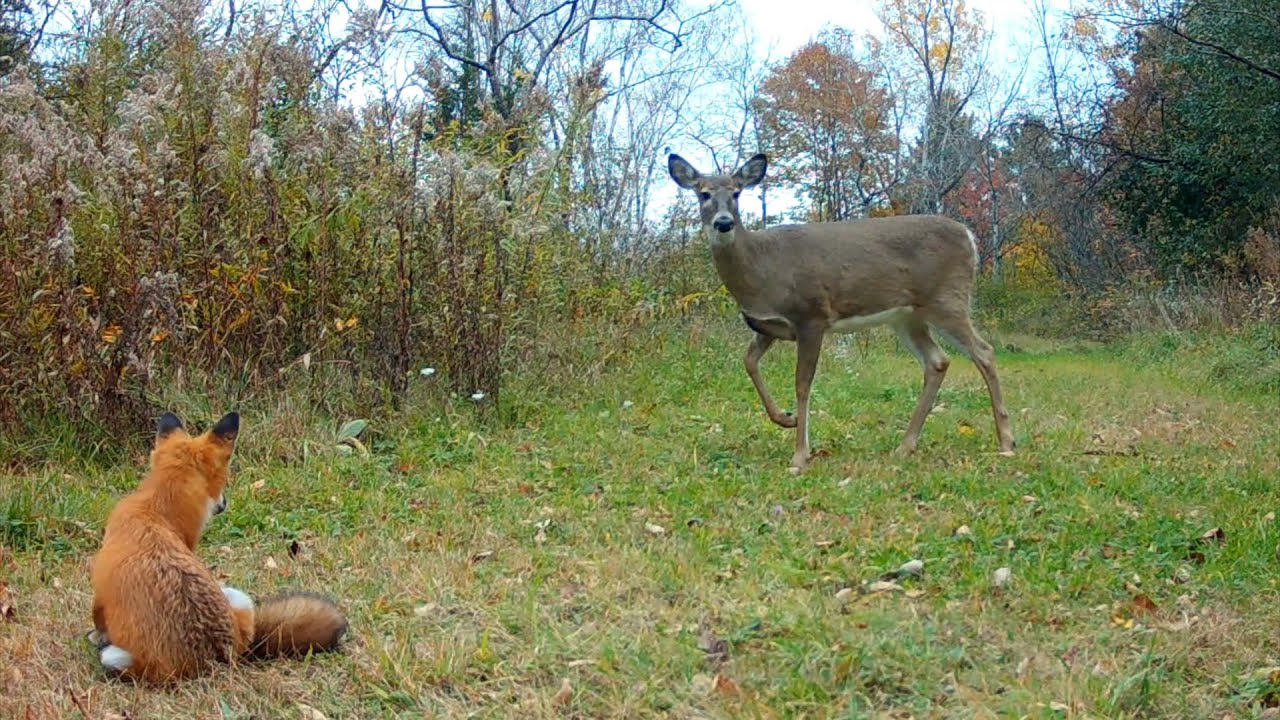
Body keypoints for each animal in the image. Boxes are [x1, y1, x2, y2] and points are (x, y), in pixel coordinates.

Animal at [88, 411, 348, 682]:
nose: (225, 503)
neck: (153, 510)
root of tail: (220, 659)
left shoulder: (100, 590)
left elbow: (98, 620)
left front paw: (95, 636)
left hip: (121, 657)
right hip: (239, 599)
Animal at [667, 152, 1015, 472]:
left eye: (737, 192)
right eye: (703, 193)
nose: (724, 222)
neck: (760, 269)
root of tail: (968, 235)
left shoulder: (812, 315)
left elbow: (802, 383)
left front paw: (799, 456)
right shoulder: (768, 326)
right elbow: (749, 362)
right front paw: (786, 419)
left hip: (946, 298)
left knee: (984, 351)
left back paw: (1006, 441)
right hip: (907, 315)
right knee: (938, 361)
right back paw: (905, 446)